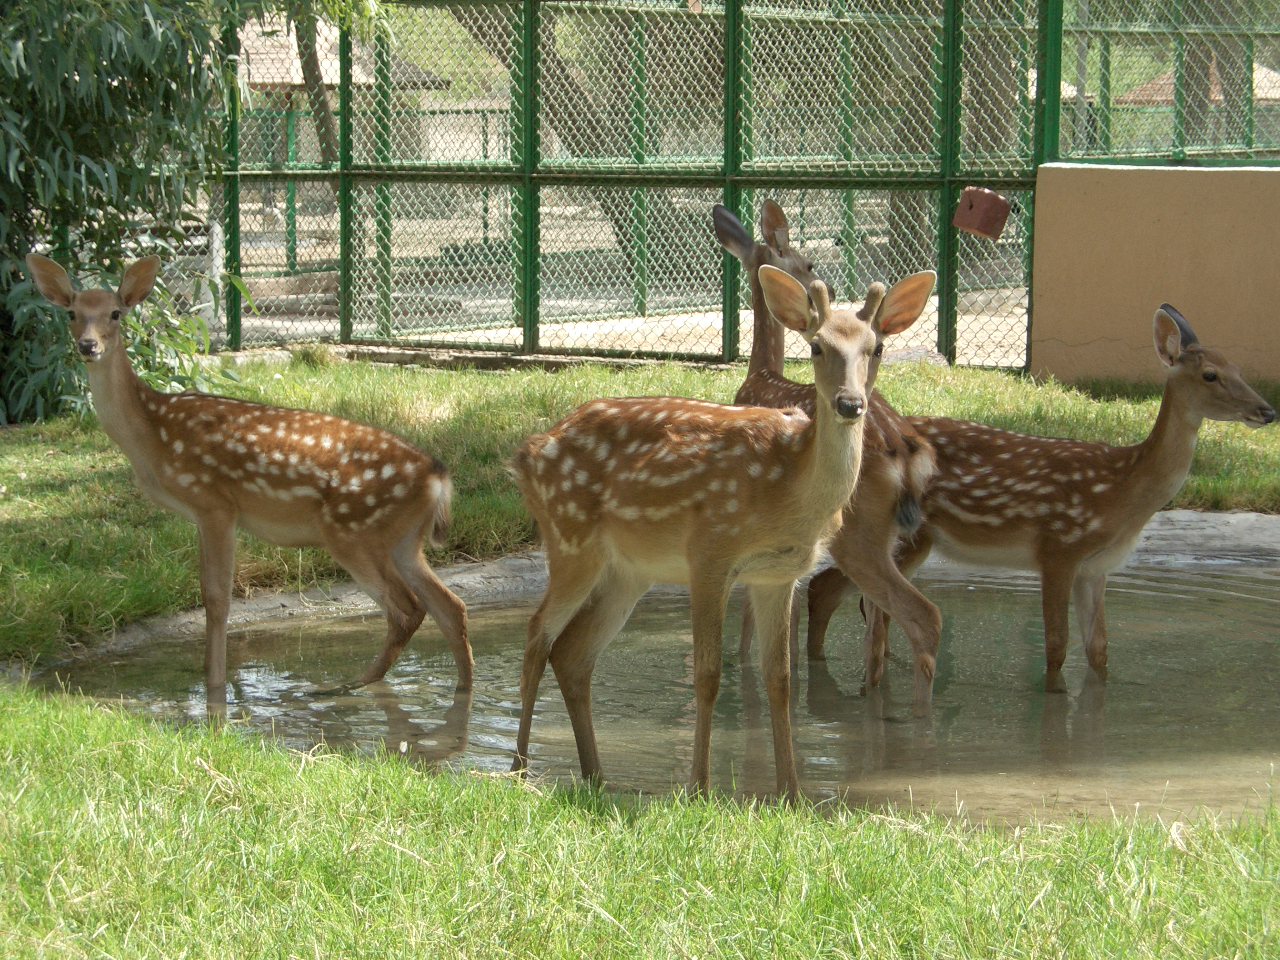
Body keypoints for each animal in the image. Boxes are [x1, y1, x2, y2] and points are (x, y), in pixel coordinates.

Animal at [26, 253, 473, 710]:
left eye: (116, 313)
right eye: (72, 313)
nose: (88, 346)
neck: (153, 436)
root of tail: (438, 476)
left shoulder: (215, 503)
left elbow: (217, 598)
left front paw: (215, 688)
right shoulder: (201, 514)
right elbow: (209, 592)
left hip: (353, 532)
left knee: (407, 609)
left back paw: (345, 686)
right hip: (403, 540)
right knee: (451, 606)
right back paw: (459, 691)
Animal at [508, 264, 935, 798]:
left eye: (875, 348)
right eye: (817, 346)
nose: (850, 403)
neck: (788, 487)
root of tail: (525, 454)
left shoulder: (778, 574)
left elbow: (780, 680)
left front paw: (792, 793)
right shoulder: (709, 552)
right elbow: (708, 674)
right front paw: (699, 787)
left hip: (629, 571)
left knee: (573, 653)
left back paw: (598, 777)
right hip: (570, 537)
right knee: (536, 635)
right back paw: (519, 770)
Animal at [713, 201, 943, 712]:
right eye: (809, 262)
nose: (832, 287)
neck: (758, 375)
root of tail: (904, 452)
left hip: (857, 535)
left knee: (920, 615)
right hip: (895, 538)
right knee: (878, 623)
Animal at [811, 303, 1276, 693]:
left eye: (1238, 367)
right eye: (1210, 375)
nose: (1267, 411)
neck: (1122, 491)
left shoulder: (1097, 567)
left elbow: (1099, 649)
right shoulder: (1059, 547)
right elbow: (1056, 645)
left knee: (847, 595)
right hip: (897, 536)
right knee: (832, 587)